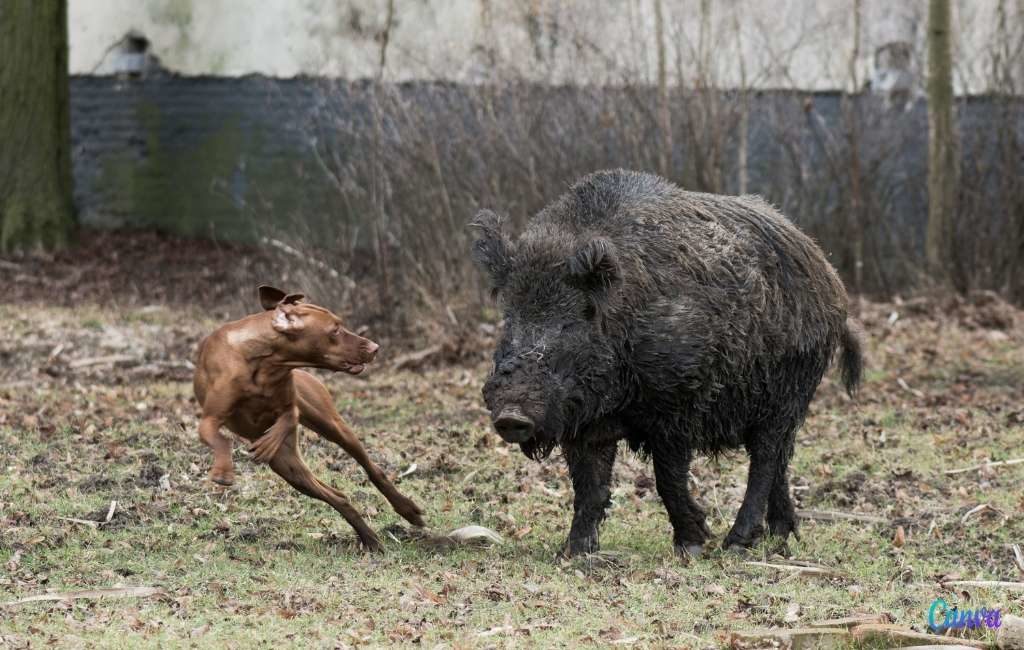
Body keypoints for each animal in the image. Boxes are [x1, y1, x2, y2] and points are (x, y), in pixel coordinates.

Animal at [193, 284, 421, 548]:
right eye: (335, 329)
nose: (375, 347)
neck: (264, 363)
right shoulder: (209, 420)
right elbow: (221, 439)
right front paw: (223, 472)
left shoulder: (290, 404)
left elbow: (287, 417)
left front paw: (268, 441)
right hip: (289, 467)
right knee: (337, 496)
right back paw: (370, 539)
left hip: (333, 427)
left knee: (373, 469)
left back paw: (407, 510)